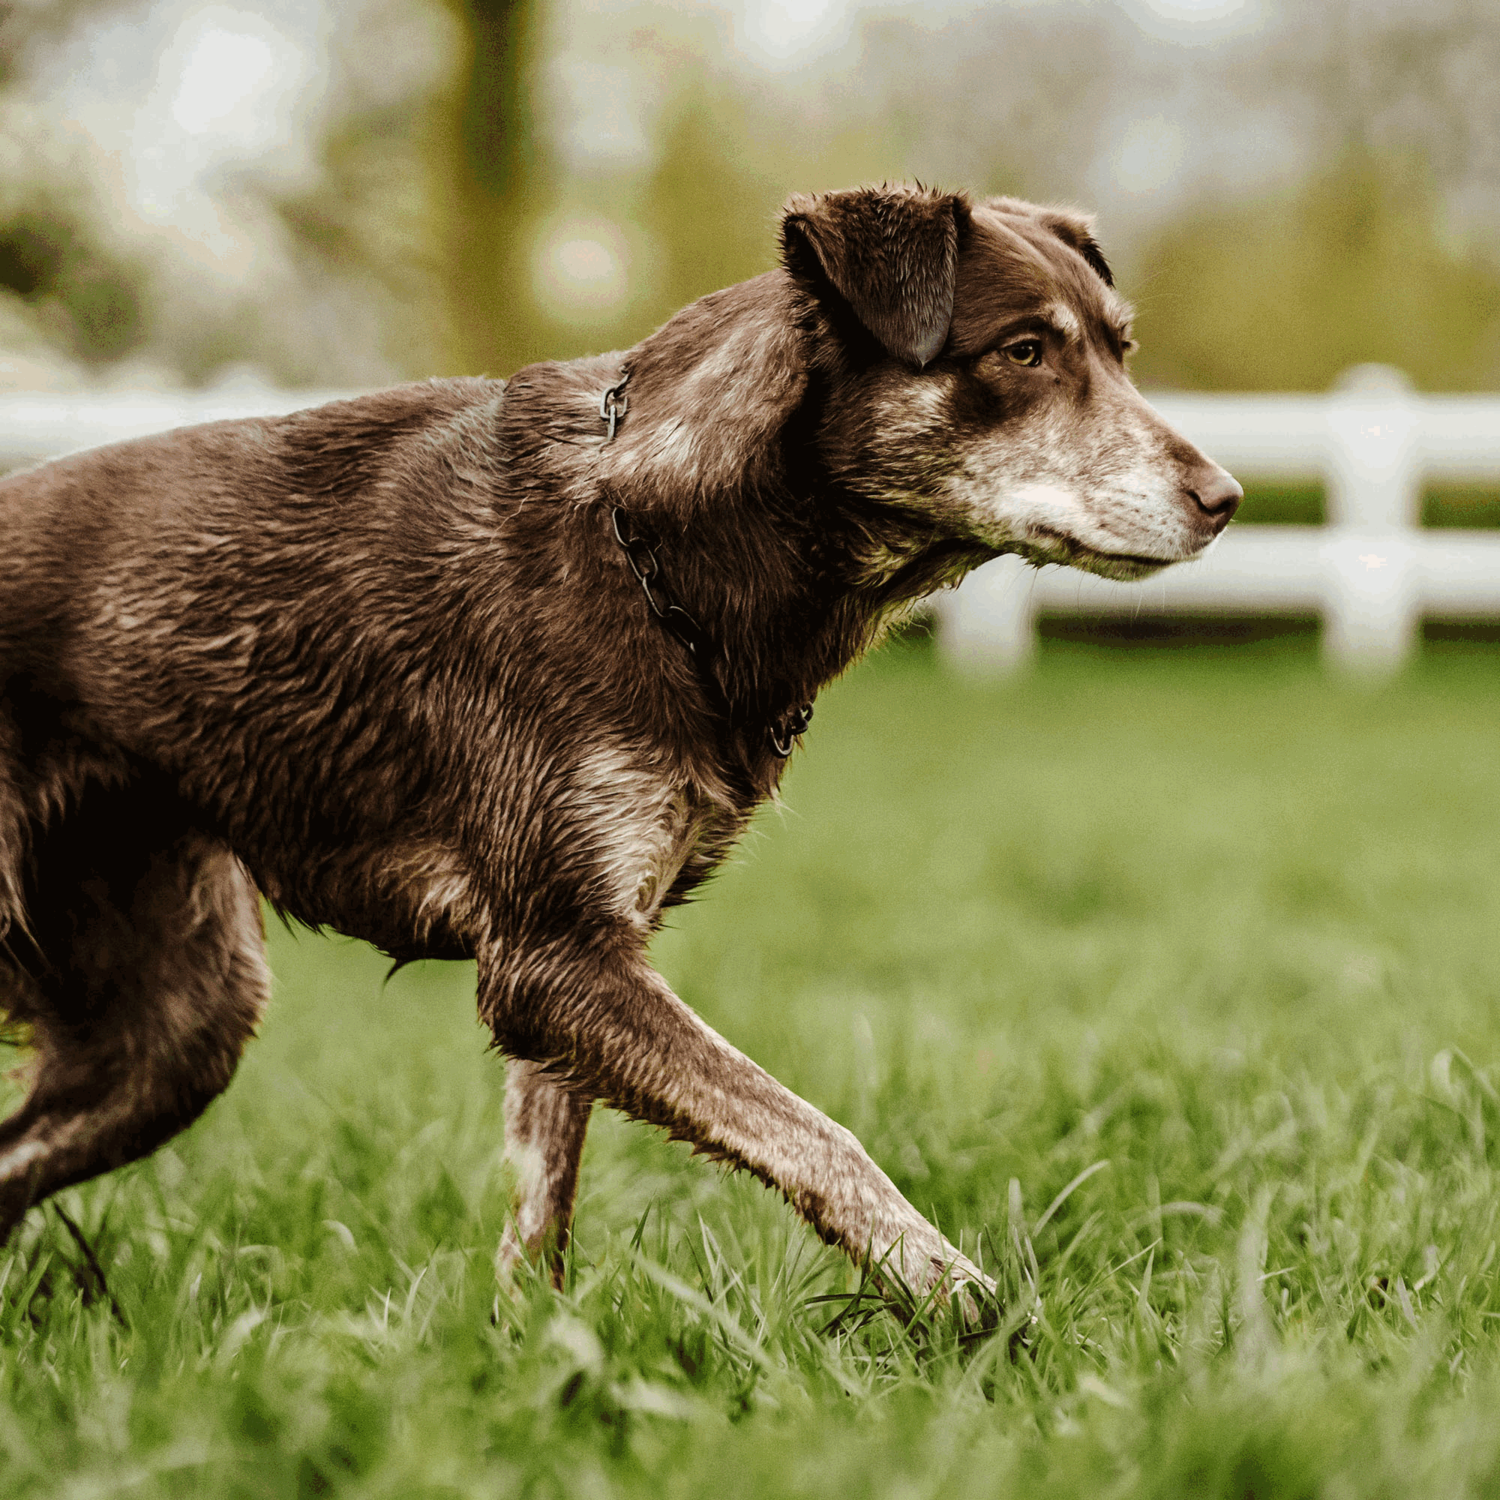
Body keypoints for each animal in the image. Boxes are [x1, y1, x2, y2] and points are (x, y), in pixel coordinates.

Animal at [0, 181, 1236, 1296]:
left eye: (1121, 351)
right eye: (1025, 351)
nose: (1224, 498)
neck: (652, 538)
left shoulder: (588, 960)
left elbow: (542, 1207)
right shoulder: (556, 958)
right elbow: (816, 1132)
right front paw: (955, 1295)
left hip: (175, 1019)